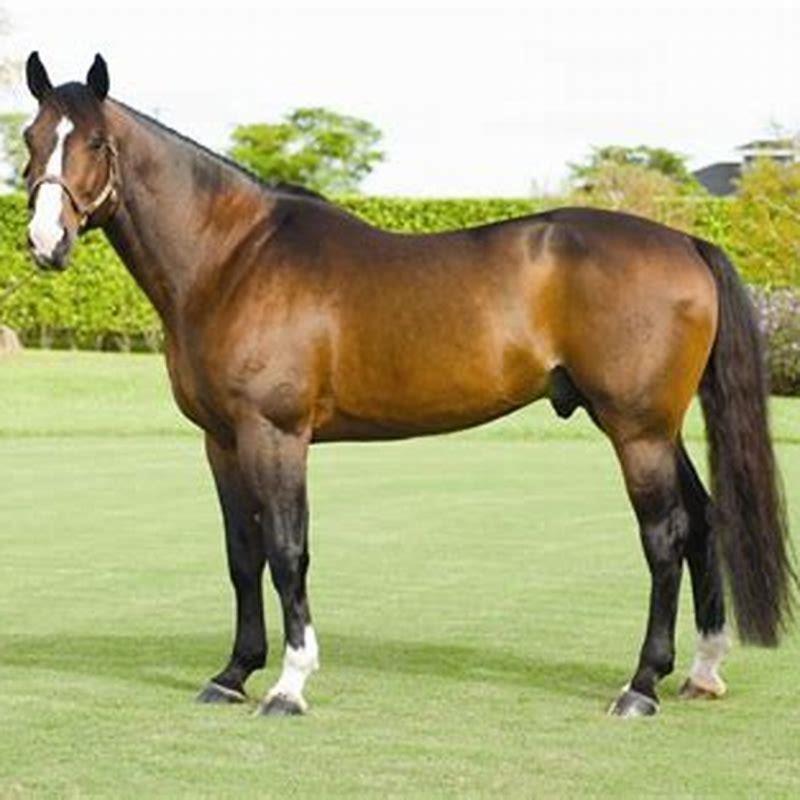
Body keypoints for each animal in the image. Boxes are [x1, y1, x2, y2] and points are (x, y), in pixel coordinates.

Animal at [22, 52, 793, 718]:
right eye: (31, 137)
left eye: (96, 141)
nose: (44, 243)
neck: (234, 259)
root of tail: (685, 241)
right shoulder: (221, 440)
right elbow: (243, 557)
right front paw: (233, 673)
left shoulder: (275, 434)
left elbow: (287, 552)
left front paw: (290, 684)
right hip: (653, 427)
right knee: (703, 521)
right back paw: (701, 671)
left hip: (637, 429)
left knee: (665, 536)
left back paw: (641, 686)